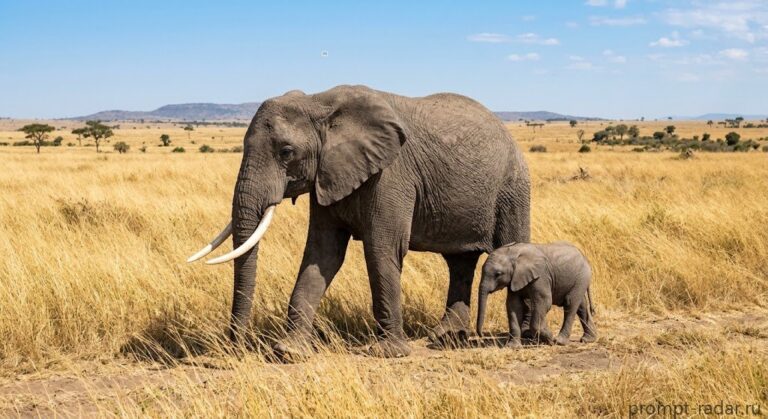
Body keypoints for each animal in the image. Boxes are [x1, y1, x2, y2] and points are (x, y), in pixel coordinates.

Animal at [187, 85, 530, 359]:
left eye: (286, 152)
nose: (236, 347)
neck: (320, 103)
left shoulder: (391, 173)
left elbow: (382, 249)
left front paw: (389, 353)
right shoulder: (327, 176)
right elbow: (322, 254)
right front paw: (289, 352)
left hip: (512, 186)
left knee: (508, 247)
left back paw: (525, 337)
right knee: (459, 262)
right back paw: (446, 338)